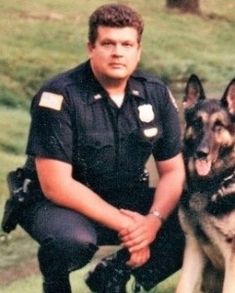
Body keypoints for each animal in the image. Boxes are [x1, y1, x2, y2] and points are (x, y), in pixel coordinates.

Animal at [177, 75, 235, 292]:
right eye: (196, 123)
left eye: (219, 125)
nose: (201, 153)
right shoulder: (194, 248)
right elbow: (182, 286)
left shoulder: (232, 257)